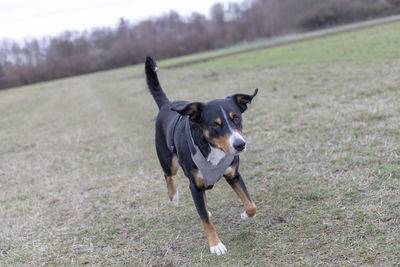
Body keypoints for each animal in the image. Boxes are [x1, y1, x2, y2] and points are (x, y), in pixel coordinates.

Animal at [145, 56, 258, 255]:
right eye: (215, 124)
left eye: (236, 118)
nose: (240, 144)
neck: (212, 148)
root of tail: (167, 104)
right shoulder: (194, 186)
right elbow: (206, 222)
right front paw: (215, 245)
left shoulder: (233, 175)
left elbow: (252, 205)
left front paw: (245, 214)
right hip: (169, 162)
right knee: (167, 175)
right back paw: (174, 197)